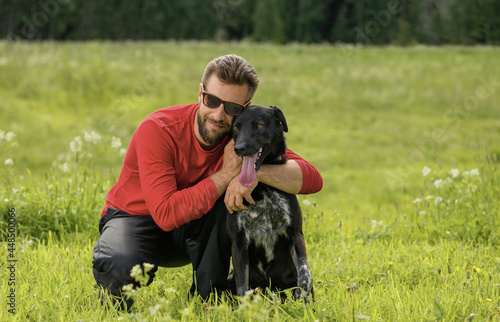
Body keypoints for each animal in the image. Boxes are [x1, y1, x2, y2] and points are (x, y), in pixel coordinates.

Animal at [227, 105, 312, 302]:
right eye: (236, 128)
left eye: (259, 125)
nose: (239, 149)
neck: (261, 187)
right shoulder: (239, 241)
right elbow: (242, 288)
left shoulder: (295, 233)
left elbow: (305, 274)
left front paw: (300, 297)